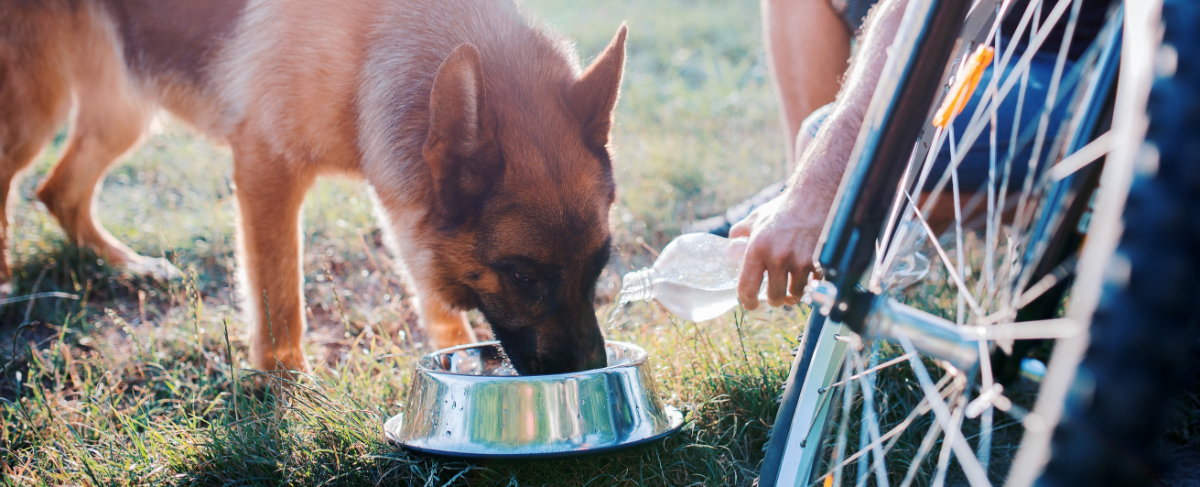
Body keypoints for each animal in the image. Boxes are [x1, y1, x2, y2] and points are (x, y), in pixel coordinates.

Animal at [4, 0, 628, 376]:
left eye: (599, 266)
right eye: (522, 276)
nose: (593, 372)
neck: (370, 41)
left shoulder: (400, 193)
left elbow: (423, 280)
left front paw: (449, 341)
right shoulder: (267, 169)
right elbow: (279, 297)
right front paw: (287, 385)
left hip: (123, 114)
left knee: (58, 192)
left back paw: (130, 266)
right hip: (33, 115)